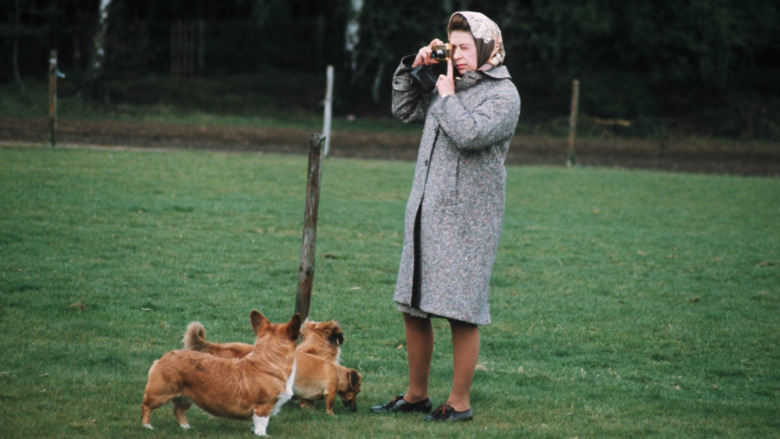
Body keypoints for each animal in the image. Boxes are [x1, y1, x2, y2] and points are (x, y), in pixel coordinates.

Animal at [139, 312, 300, 438]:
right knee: (146, 406)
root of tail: (164, 357)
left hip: (186, 396)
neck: (268, 362)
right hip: (159, 394)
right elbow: (262, 423)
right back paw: (147, 426)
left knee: (178, 411)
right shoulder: (263, 407)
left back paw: (186, 427)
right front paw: (262, 435)